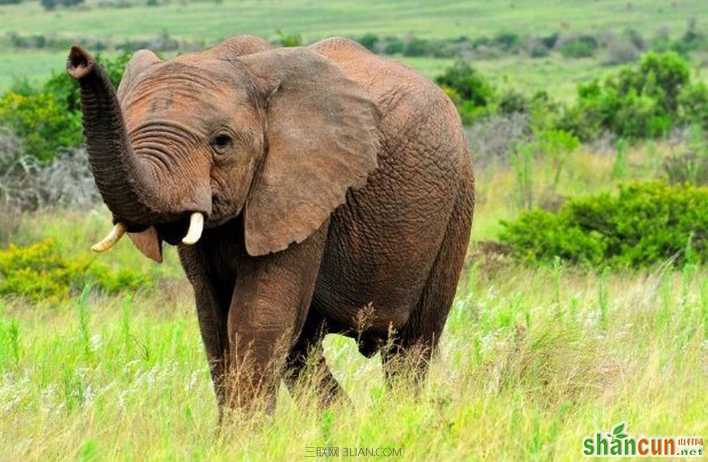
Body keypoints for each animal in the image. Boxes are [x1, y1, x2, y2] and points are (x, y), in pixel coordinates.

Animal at [68, 35, 476, 412]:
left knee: (412, 345)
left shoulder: (305, 188)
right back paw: (343, 422)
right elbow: (214, 322)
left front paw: (242, 437)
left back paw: (399, 416)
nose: (77, 59)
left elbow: (259, 316)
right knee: (304, 349)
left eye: (221, 143)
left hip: (457, 200)